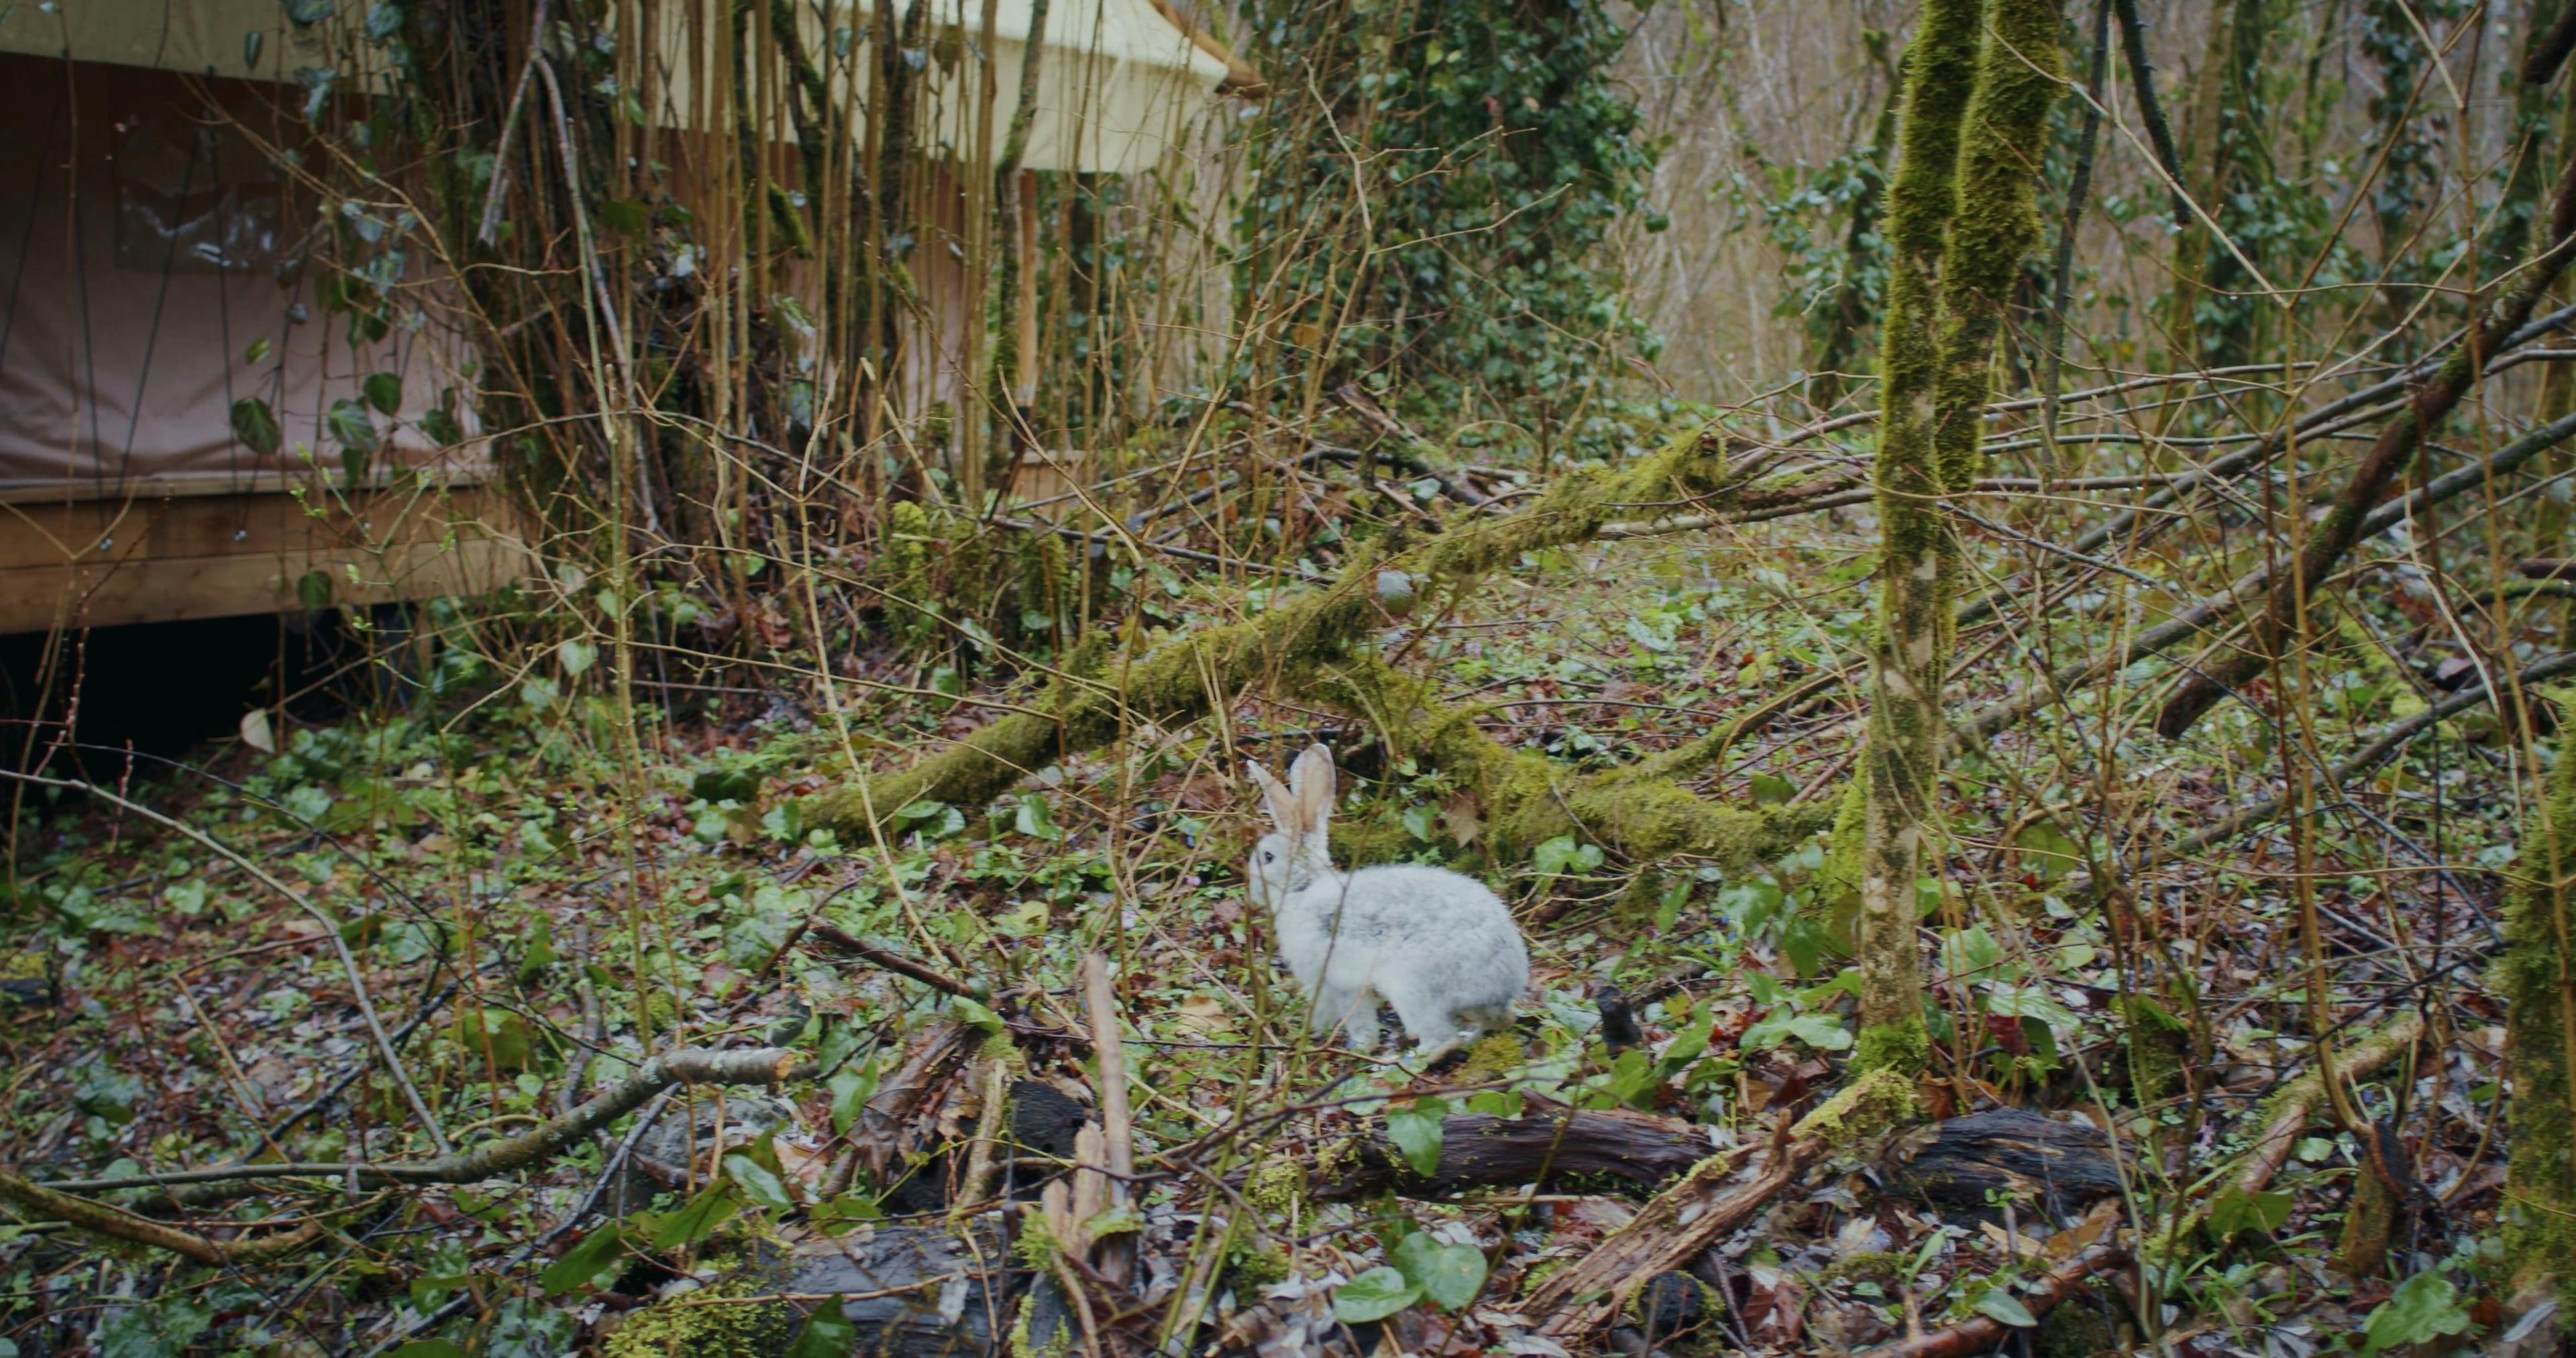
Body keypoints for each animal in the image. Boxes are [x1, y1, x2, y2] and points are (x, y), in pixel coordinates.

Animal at [1245, 743, 1529, 1060]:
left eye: (1268, 857)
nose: (1252, 889)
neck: (1302, 888)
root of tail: (1504, 981)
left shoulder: (1331, 980)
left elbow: (1352, 1017)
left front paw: (1351, 1043)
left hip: (1411, 986)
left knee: (1443, 1039)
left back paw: (1403, 1060)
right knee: (1498, 1022)